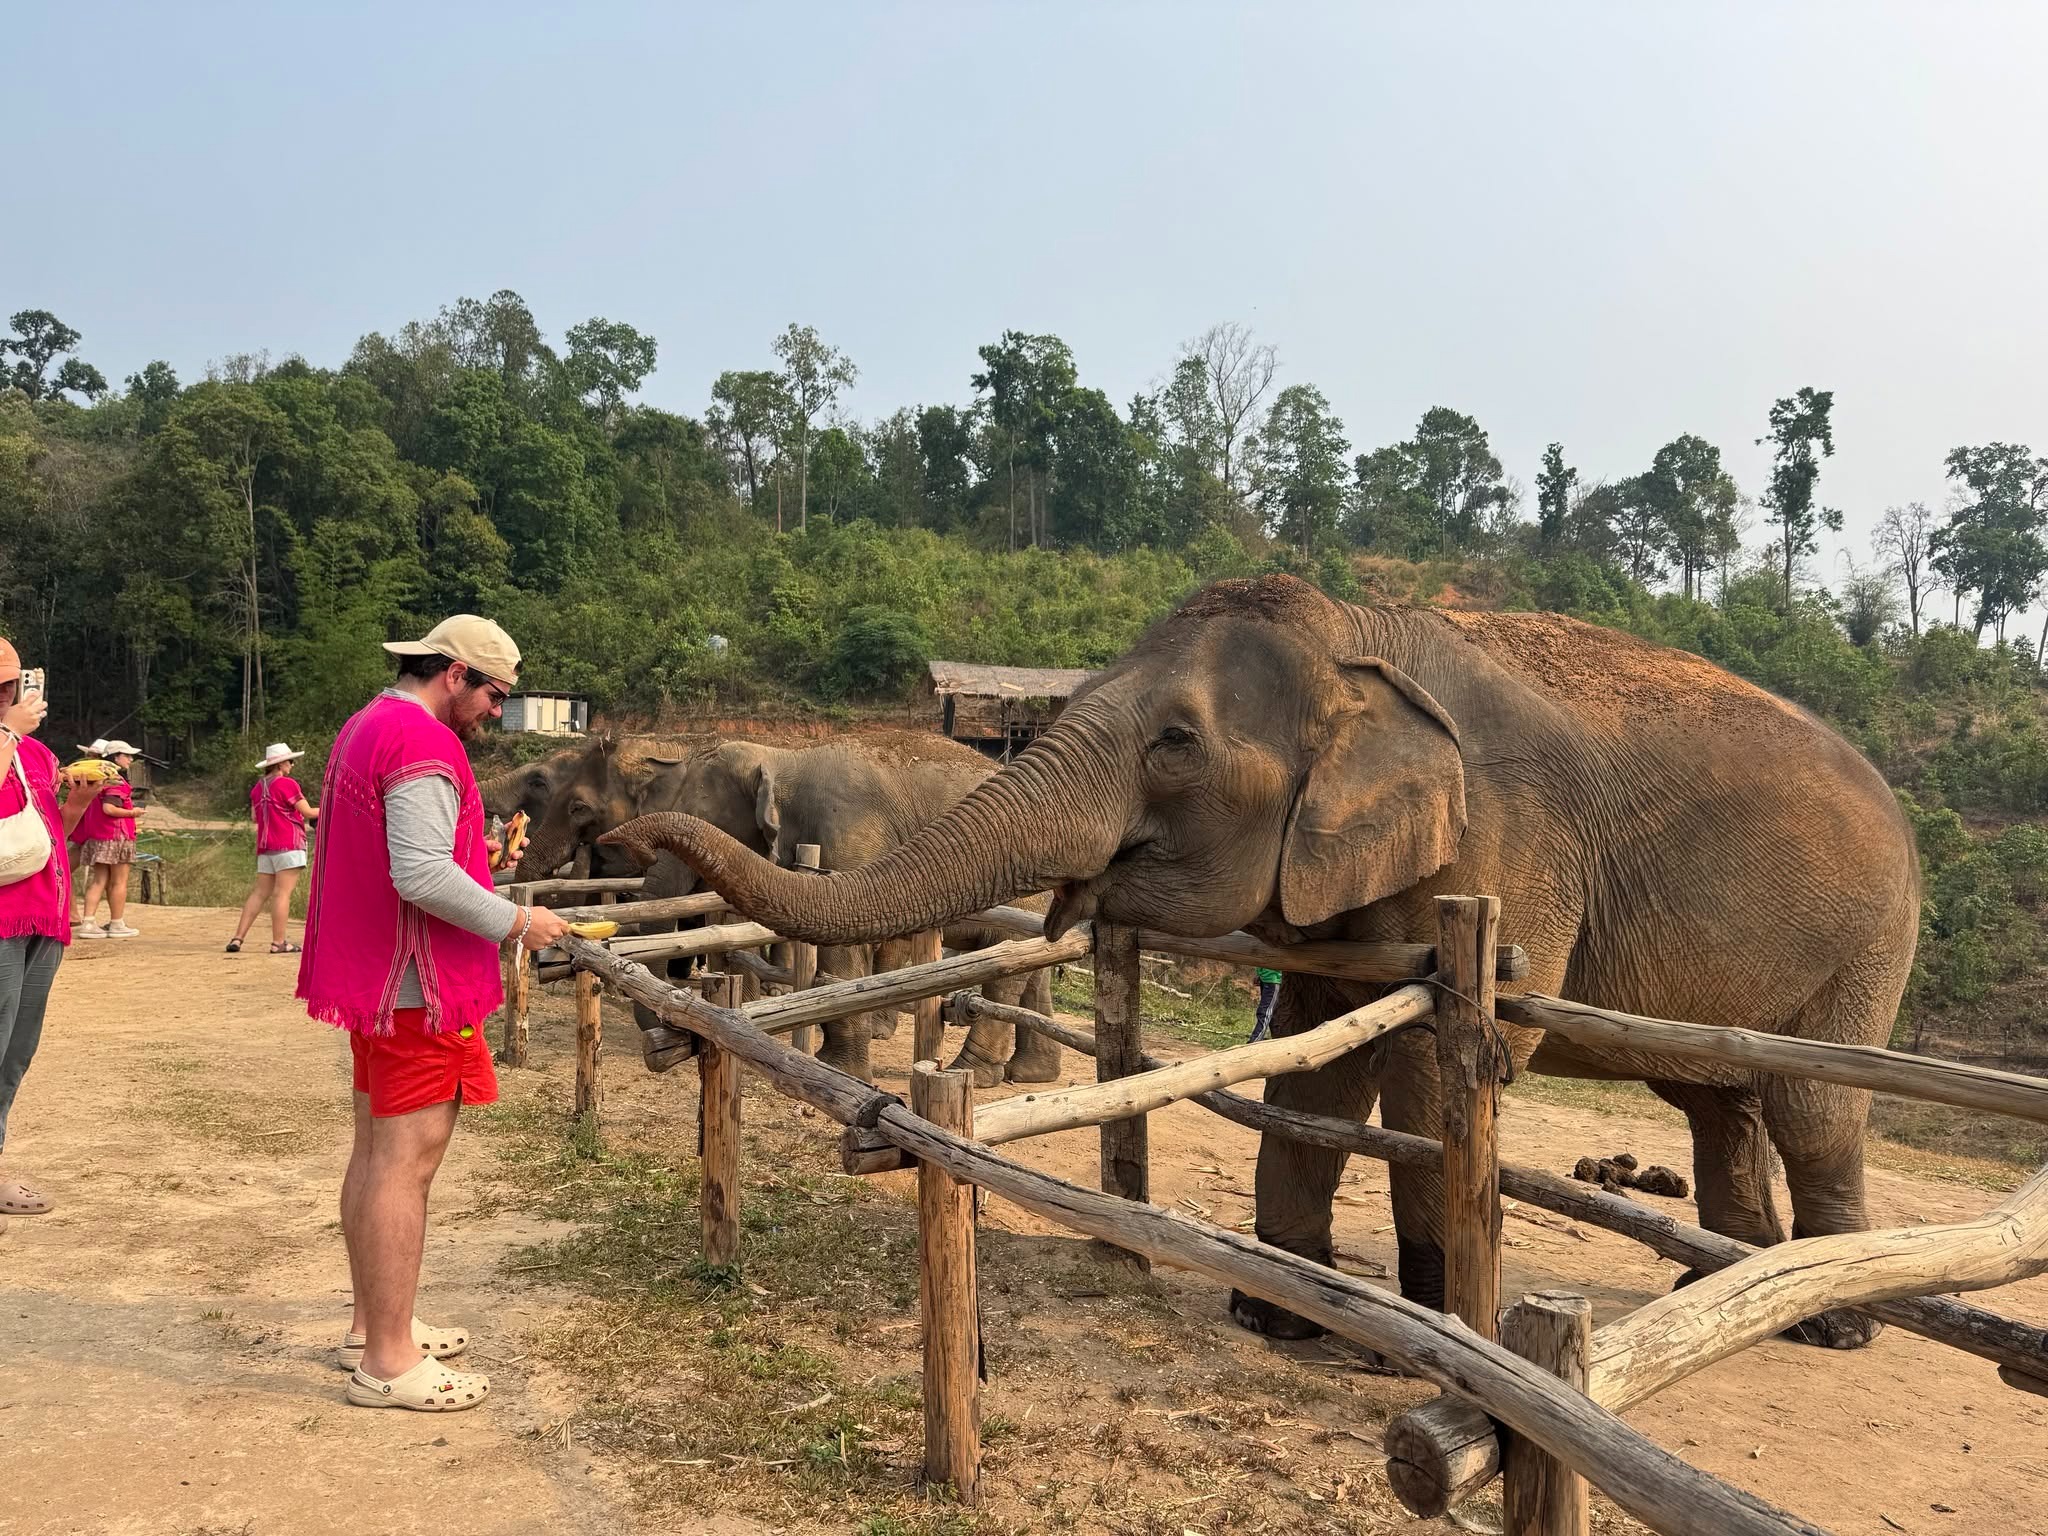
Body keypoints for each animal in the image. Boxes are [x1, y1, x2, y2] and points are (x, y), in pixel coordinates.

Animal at [524, 730, 1064, 1085]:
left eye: (579, 808)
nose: (657, 1055)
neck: (784, 760)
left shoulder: (850, 834)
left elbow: (844, 946)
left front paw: (837, 1068)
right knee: (1031, 967)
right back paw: (1028, 1075)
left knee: (1006, 963)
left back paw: (972, 1072)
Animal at [606, 574, 1920, 1354]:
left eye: (1175, 744)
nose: (625, 829)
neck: (1361, 638)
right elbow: (1318, 1068)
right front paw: (1275, 1307)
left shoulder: (1508, 852)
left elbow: (1449, 1066)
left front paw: (1429, 1327)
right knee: (1715, 1100)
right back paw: (1728, 1288)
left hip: (1870, 944)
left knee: (1809, 1103)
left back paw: (1833, 1325)